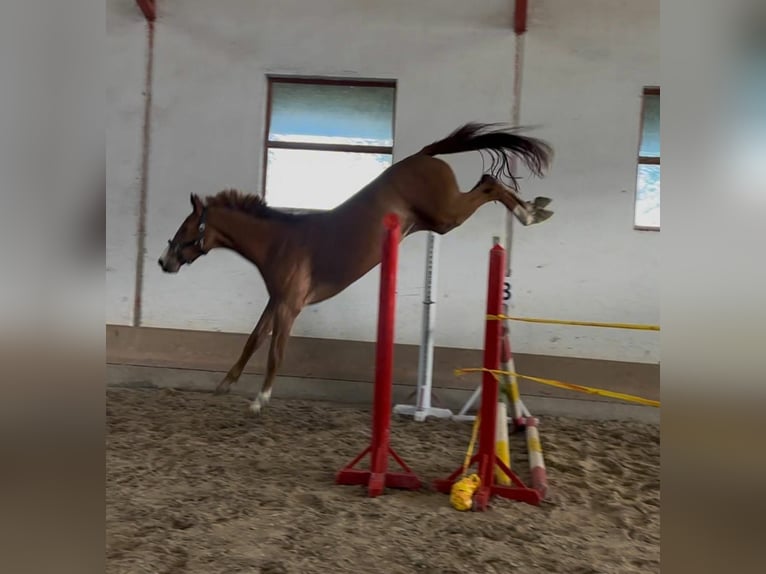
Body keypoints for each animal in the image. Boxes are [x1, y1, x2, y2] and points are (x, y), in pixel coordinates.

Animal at [158, 122, 554, 415]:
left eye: (186, 228)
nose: (164, 261)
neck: (279, 242)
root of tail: (423, 155)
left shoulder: (290, 306)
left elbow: (275, 352)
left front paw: (260, 399)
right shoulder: (277, 301)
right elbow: (254, 340)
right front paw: (225, 384)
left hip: (447, 216)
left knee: (489, 183)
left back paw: (530, 213)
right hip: (439, 220)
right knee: (489, 183)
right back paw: (536, 208)